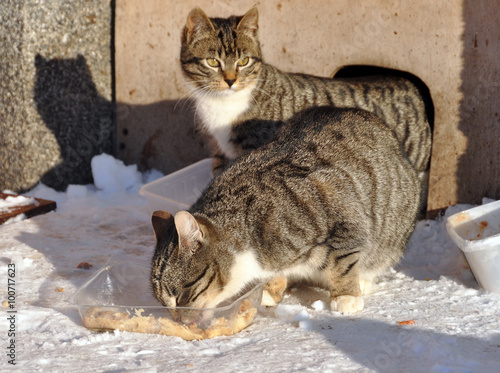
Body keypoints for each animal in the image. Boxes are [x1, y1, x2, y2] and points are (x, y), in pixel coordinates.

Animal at [149, 106, 422, 312]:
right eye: (165, 303)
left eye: (180, 294)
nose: (178, 319)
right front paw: (269, 291)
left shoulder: (341, 215)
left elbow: (342, 263)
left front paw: (346, 297)